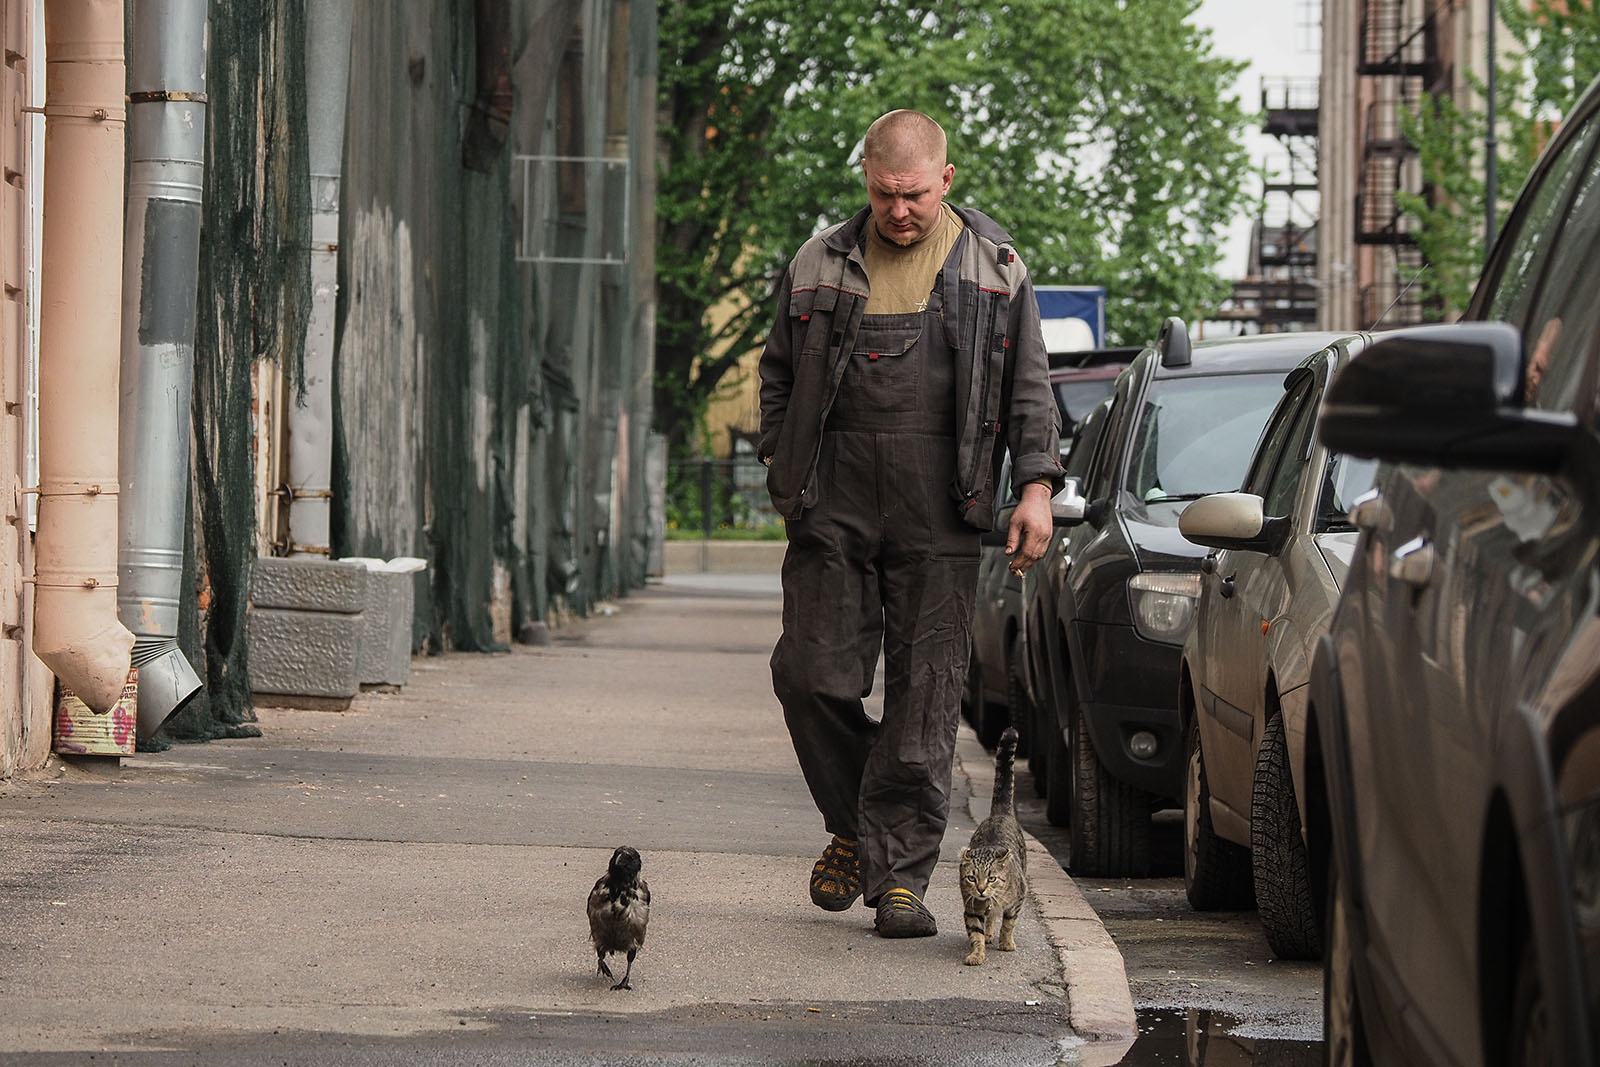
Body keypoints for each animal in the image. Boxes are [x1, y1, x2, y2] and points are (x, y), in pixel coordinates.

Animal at [953, 726, 1030, 966]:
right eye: (971, 878)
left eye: (992, 878)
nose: (980, 888)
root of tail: (1000, 813)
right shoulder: (971, 909)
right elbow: (975, 933)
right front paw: (977, 953)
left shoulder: (1018, 899)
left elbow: (1009, 923)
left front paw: (1006, 942)